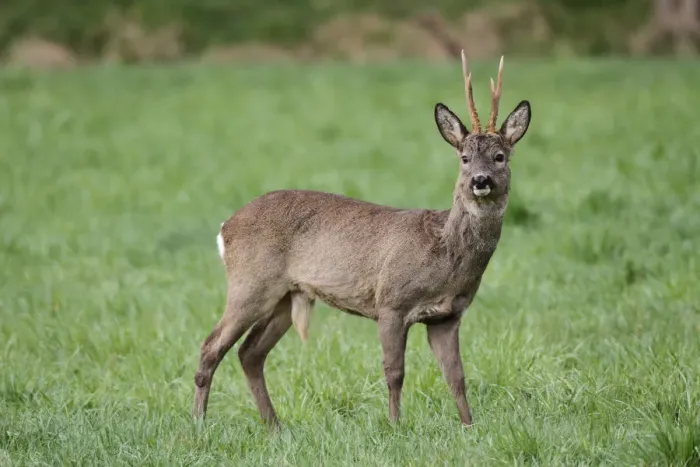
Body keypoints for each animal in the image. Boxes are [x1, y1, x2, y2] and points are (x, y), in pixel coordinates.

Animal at [192, 51, 532, 428]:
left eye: (500, 157)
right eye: (464, 158)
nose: (480, 180)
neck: (445, 253)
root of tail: (226, 227)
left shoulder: (447, 316)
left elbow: (456, 376)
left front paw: (468, 426)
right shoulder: (391, 301)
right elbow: (395, 372)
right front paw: (395, 425)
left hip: (284, 295)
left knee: (249, 352)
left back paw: (275, 428)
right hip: (250, 282)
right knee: (211, 346)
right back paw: (199, 425)